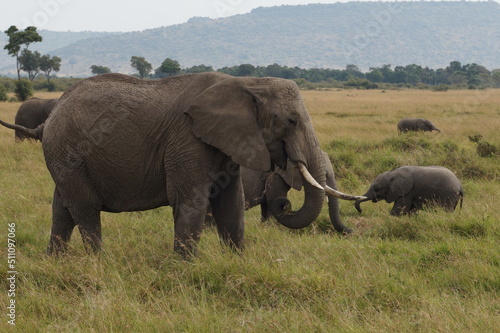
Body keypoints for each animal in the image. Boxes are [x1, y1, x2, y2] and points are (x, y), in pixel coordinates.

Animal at [0, 72, 364, 258]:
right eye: (290, 121)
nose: (284, 204)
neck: (246, 81)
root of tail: (50, 119)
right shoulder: (187, 138)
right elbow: (192, 201)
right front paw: (185, 267)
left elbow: (230, 204)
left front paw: (237, 262)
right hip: (70, 150)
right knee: (85, 208)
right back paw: (97, 262)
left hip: (66, 157)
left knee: (62, 208)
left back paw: (56, 261)